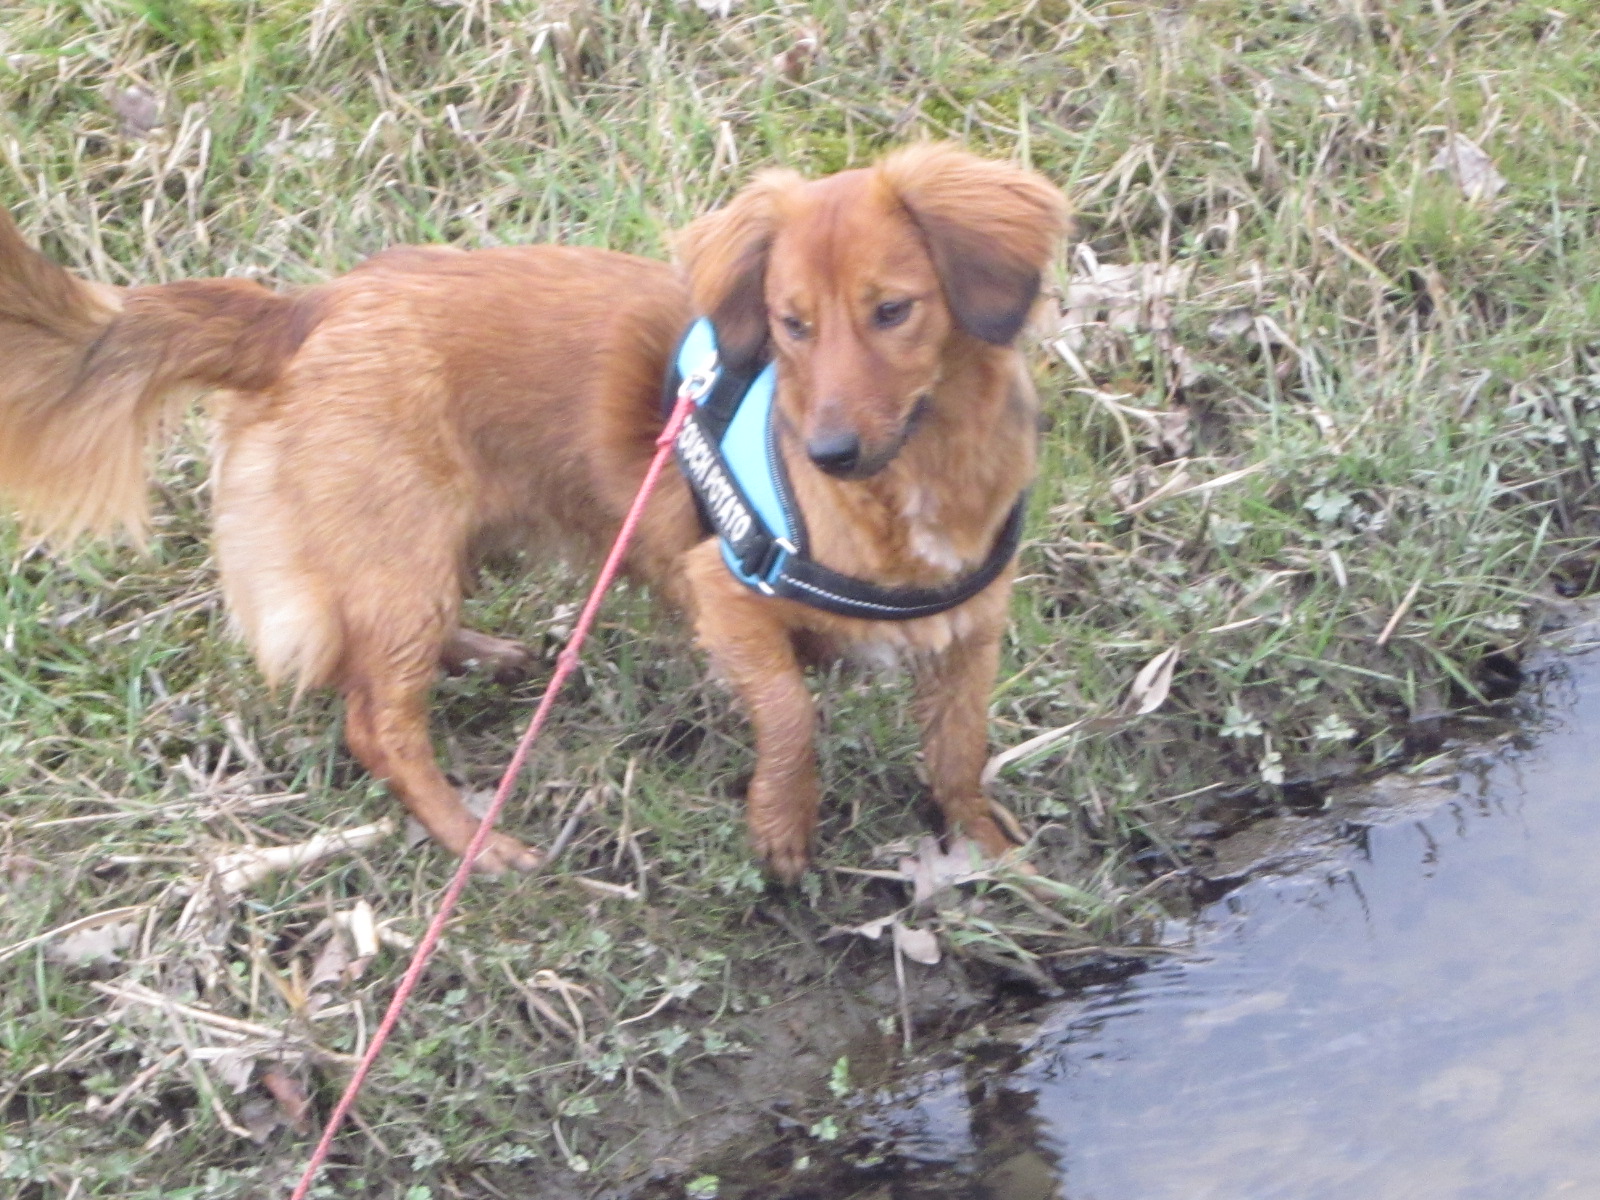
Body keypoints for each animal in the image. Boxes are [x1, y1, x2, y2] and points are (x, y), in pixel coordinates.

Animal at [3, 148, 1075, 883]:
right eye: (792, 326)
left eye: (894, 311)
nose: (828, 453)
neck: (912, 481)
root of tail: (306, 311)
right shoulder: (727, 597)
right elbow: (791, 715)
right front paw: (782, 823)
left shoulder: (969, 631)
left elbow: (959, 751)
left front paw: (985, 843)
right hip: (404, 564)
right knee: (378, 725)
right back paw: (475, 841)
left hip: (426, 558)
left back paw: (484, 657)